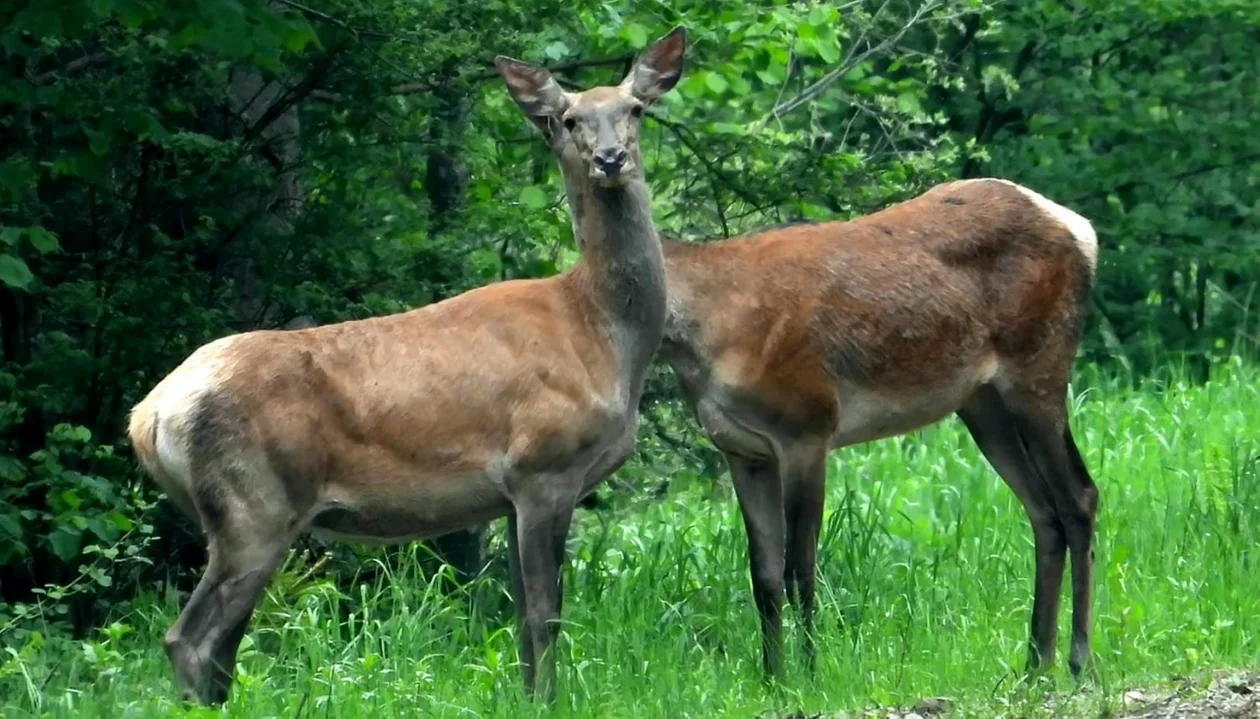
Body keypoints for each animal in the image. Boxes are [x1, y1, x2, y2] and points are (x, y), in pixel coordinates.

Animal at [125, 26, 690, 705]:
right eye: (568, 119)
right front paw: (547, 703)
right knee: (191, 638)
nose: (610, 159)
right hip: (253, 502)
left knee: (220, 645)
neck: (602, 334)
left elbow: (520, 621)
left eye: (634, 109)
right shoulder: (544, 465)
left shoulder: (511, 495)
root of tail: (149, 415)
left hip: (236, 515)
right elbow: (543, 615)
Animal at [544, 103, 1103, 679]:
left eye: (628, 115)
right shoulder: (742, 447)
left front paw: (812, 671)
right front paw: (773, 674)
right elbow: (763, 573)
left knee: (1079, 496)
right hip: (982, 403)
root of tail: (1081, 229)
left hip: (1039, 367)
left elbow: (799, 567)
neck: (702, 321)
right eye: (566, 122)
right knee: (1043, 509)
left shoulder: (807, 424)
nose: (607, 161)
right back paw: (1035, 660)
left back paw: (1078, 658)